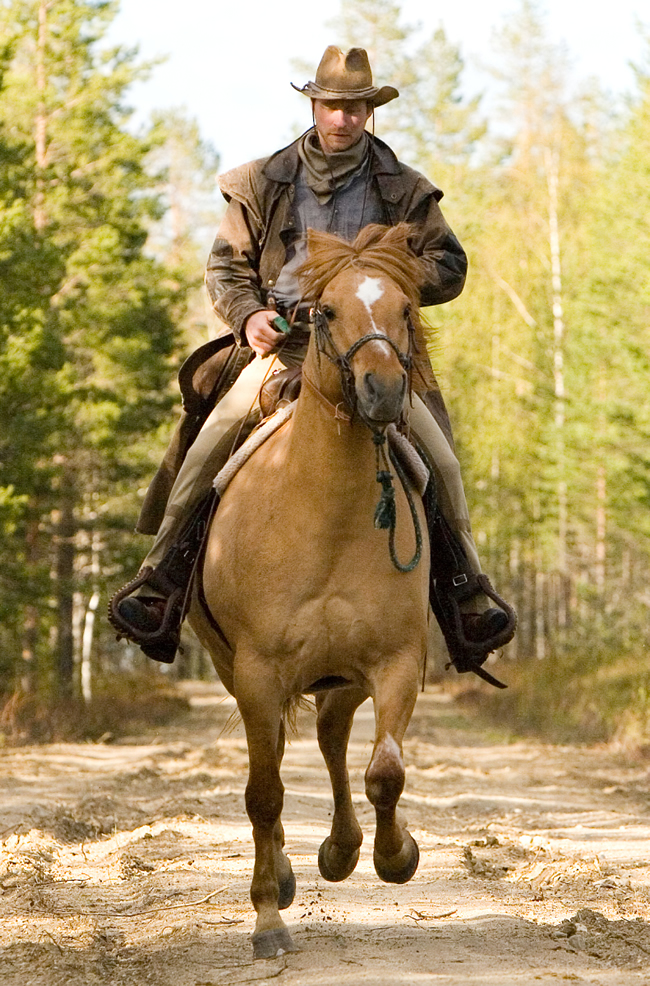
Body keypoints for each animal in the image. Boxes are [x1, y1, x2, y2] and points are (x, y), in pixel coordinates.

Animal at [189, 227, 430, 956]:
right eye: (325, 312)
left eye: (405, 308)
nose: (383, 390)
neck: (326, 510)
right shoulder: (257, 672)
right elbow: (263, 793)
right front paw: (268, 917)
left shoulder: (395, 661)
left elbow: (384, 771)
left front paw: (394, 856)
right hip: (239, 671)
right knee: (283, 757)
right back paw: (291, 873)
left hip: (341, 674)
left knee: (330, 736)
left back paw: (343, 849)